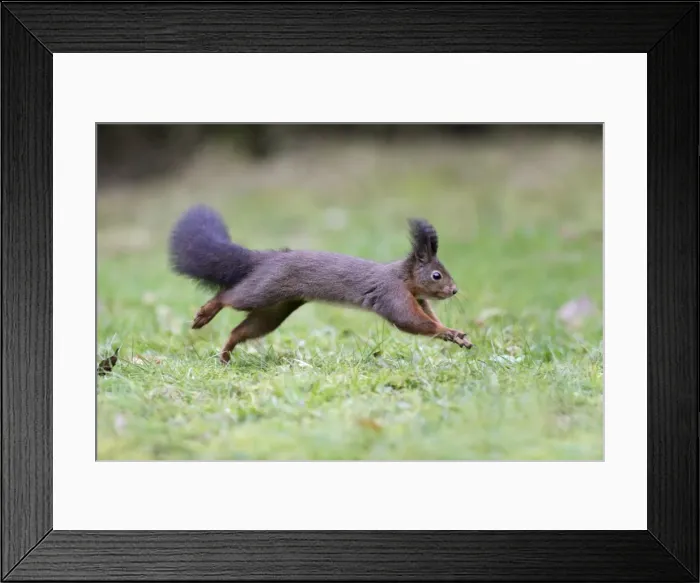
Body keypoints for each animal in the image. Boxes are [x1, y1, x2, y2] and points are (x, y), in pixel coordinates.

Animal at [169, 205, 473, 364]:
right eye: (436, 275)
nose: (454, 290)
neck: (404, 279)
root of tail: (266, 257)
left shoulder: (418, 298)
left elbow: (427, 316)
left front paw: (455, 334)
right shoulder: (392, 295)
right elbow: (411, 321)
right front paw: (447, 331)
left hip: (275, 309)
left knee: (240, 330)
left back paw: (224, 355)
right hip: (260, 290)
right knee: (228, 295)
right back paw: (204, 314)